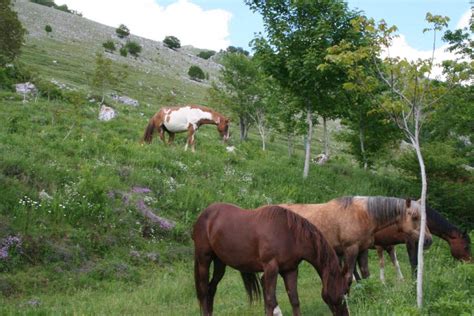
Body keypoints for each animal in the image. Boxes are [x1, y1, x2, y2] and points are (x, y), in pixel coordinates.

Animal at [191, 202, 350, 316]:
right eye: (342, 294)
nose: (346, 314)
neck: (290, 235)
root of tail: (203, 215)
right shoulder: (271, 268)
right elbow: (270, 301)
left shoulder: (290, 270)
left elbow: (294, 300)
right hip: (204, 260)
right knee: (204, 290)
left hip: (220, 263)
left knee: (211, 288)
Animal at [282, 195, 434, 286]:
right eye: (414, 216)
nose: (428, 240)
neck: (362, 215)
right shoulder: (351, 249)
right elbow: (349, 276)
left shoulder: (362, 249)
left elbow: (366, 273)